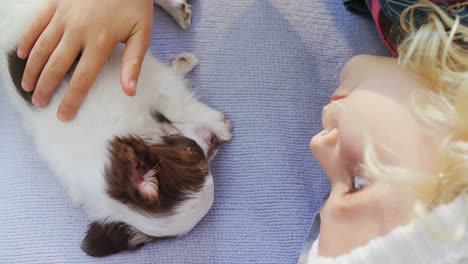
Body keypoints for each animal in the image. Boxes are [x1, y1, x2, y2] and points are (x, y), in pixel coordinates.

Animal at [0, 0, 230, 258]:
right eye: (194, 152)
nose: (214, 140)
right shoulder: (149, 79)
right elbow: (176, 99)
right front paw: (215, 120)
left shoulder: (137, 77)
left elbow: (176, 101)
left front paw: (216, 122)